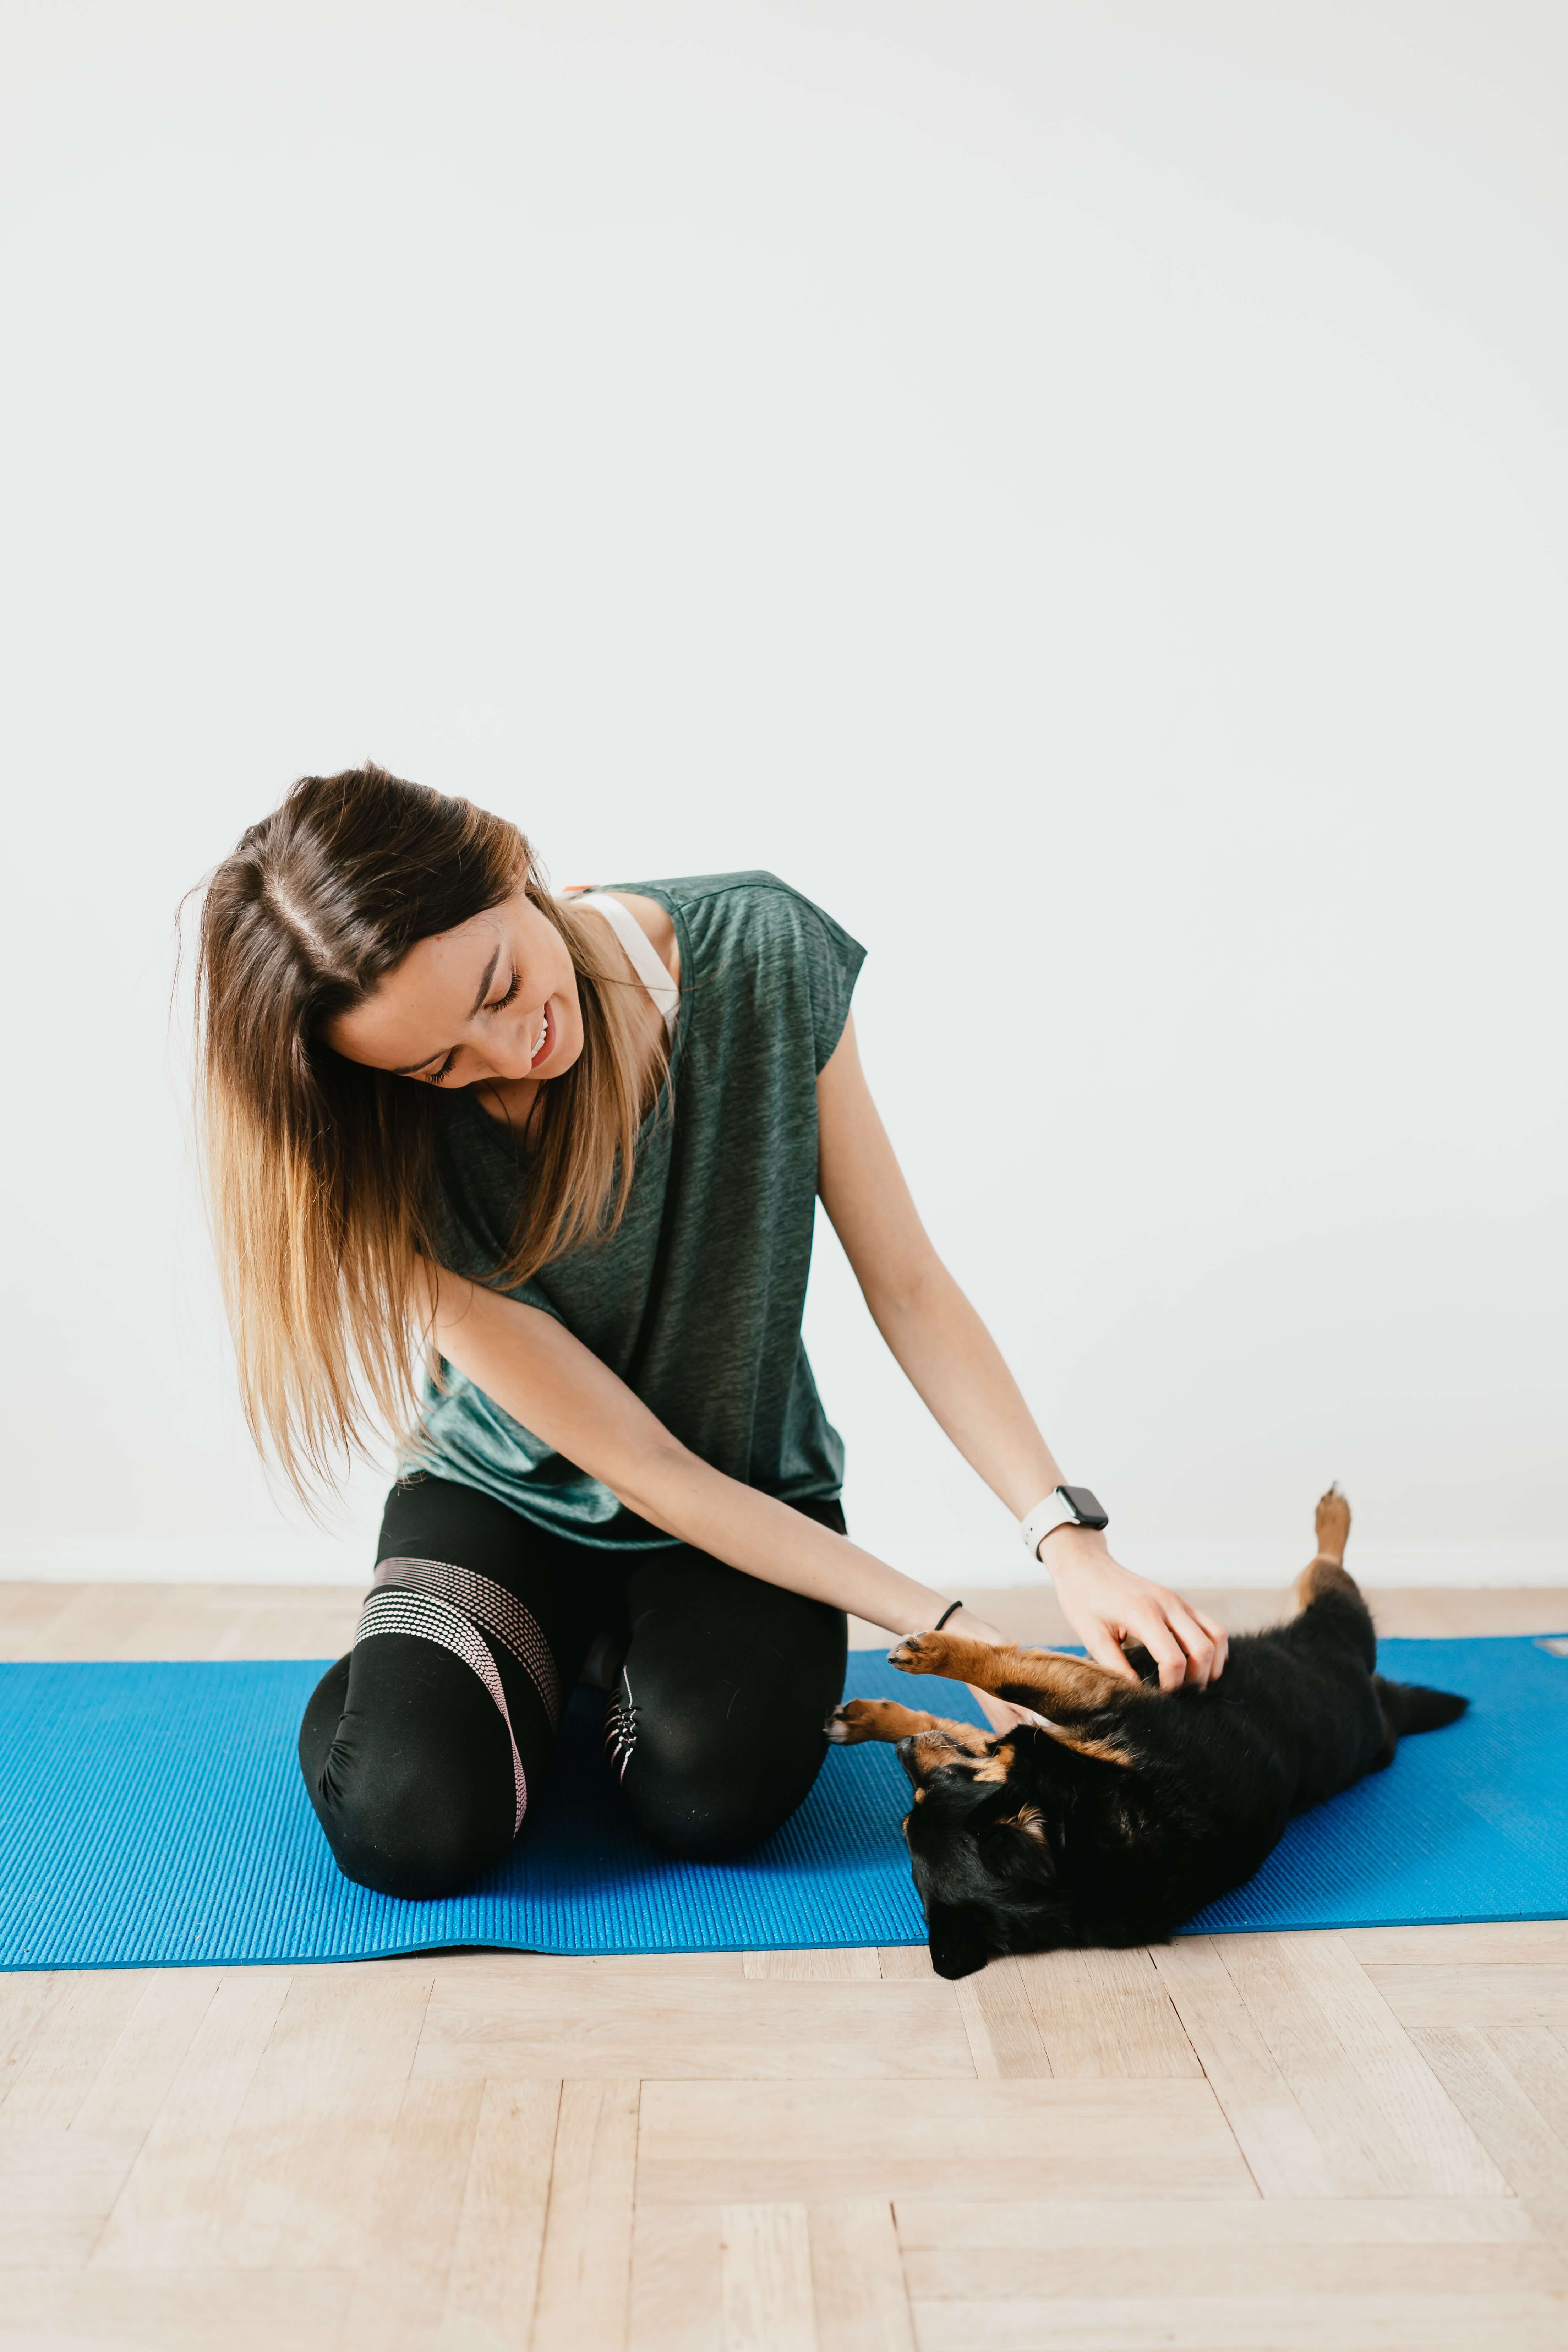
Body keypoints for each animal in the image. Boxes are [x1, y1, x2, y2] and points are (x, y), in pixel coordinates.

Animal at [827, 1496, 1467, 1976]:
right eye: (910, 1813)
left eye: (934, 1790)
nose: (902, 1753)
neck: (1085, 1833)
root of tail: (1384, 1710)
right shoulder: (1076, 1711)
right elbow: (986, 1702)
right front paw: (881, 1716)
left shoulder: (1099, 1694)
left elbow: (1000, 1672)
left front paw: (915, 1671)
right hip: (1328, 1630)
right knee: (1324, 1575)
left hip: (1332, 1624)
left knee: (1327, 1569)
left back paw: (1332, 1513)